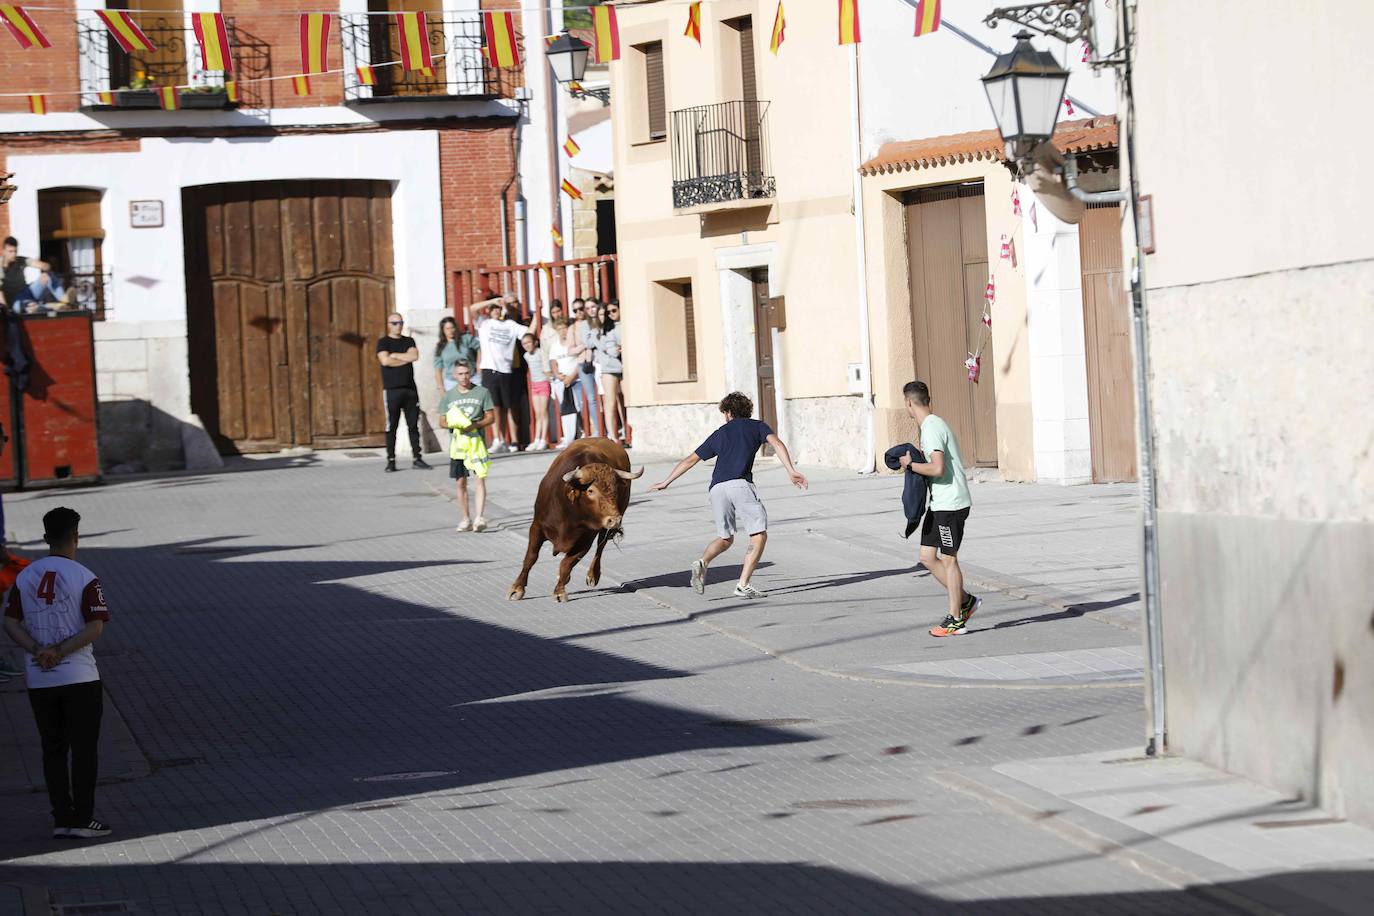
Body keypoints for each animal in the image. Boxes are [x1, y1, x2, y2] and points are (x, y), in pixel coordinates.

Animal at [505, 436, 643, 601]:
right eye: (591, 491)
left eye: (616, 489)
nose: (615, 519)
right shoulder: (537, 527)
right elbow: (530, 557)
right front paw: (516, 589)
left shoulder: (586, 538)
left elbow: (567, 563)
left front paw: (559, 591)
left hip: (606, 529)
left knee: (600, 546)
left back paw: (592, 575)